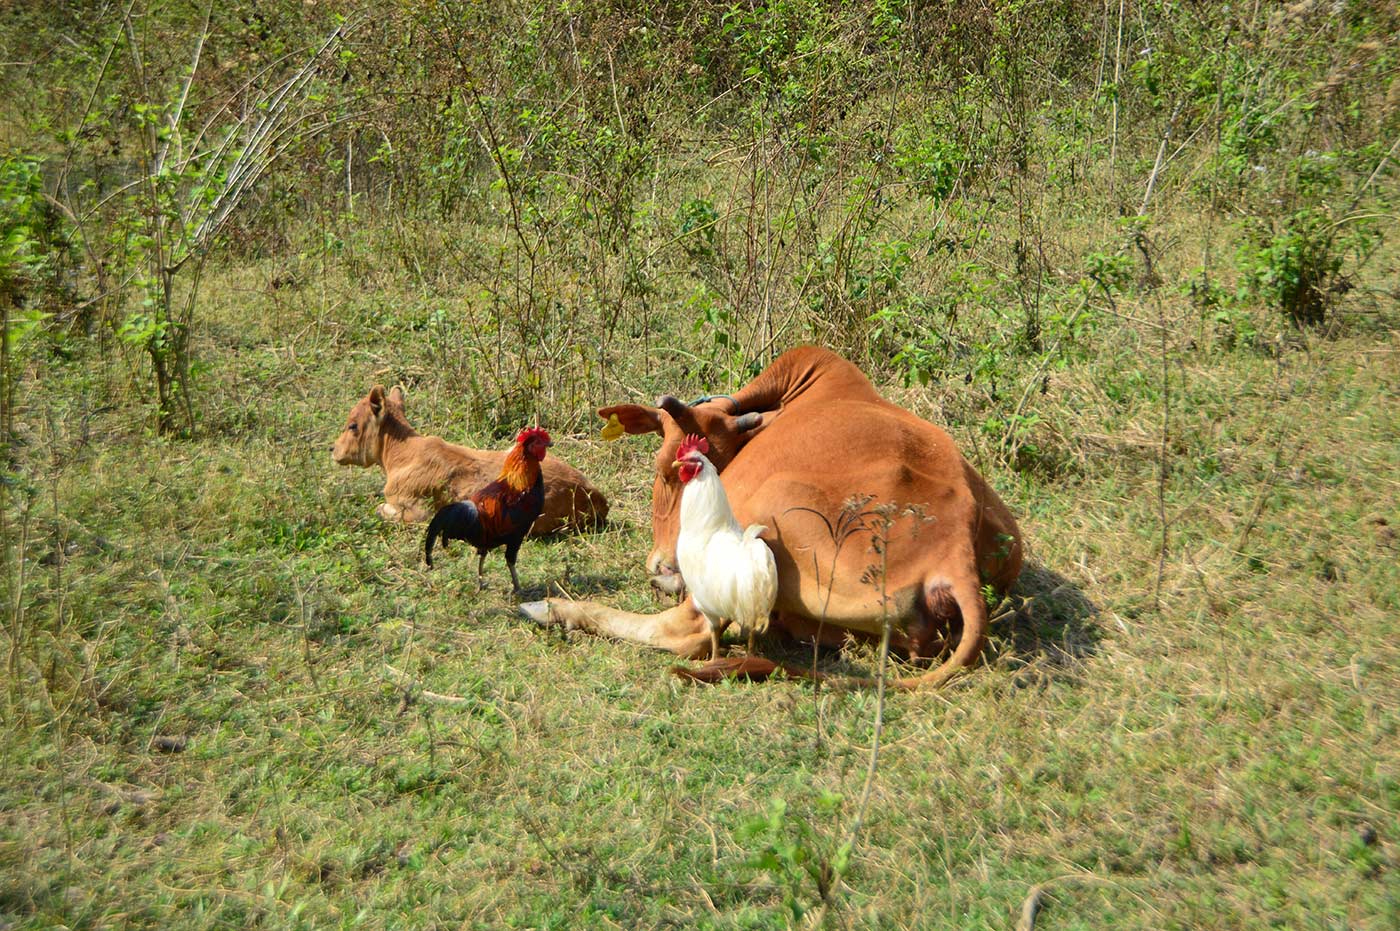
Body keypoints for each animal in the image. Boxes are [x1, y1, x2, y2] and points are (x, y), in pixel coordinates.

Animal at [336, 383, 610, 529]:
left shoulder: (415, 509)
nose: (333, 450)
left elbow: (381, 510)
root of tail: (595, 494)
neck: (402, 455)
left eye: (353, 425)